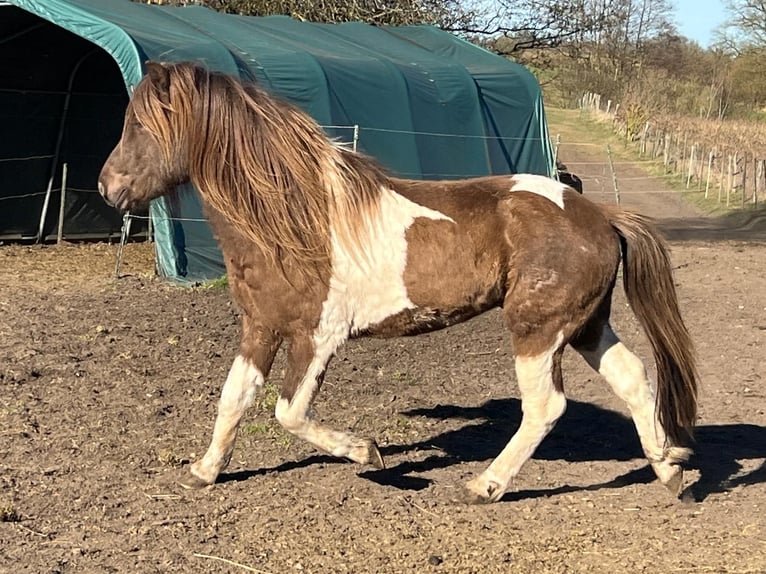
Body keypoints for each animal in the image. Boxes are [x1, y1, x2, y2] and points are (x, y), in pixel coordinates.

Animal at [98, 61, 698, 504]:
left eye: (141, 124)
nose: (108, 187)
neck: (294, 220)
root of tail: (600, 215)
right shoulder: (260, 327)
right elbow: (235, 398)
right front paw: (204, 471)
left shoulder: (318, 336)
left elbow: (288, 411)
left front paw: (370, 454)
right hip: (584, 326)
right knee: (634, 380)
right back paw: (670, 472)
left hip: (537, 329)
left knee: (546, 407)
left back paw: (485, 485)